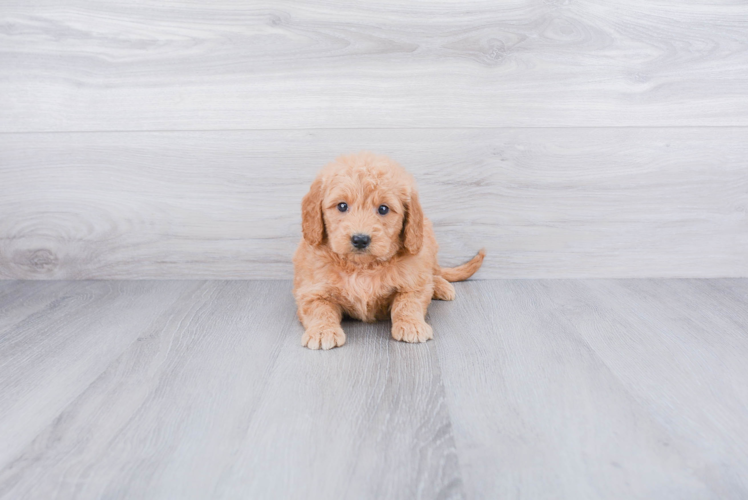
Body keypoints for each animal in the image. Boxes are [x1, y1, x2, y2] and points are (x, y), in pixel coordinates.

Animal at [292, 150, 486, 350]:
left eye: (383, 209)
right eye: (342, 206)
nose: (360, 239)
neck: (362, 267)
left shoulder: (412, 280)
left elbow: (408, 302)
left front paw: (411, 324)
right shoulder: (312, 290)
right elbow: (319, 308)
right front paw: (322, 331)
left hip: (427, 243)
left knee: (433, 273)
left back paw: (440, 286)